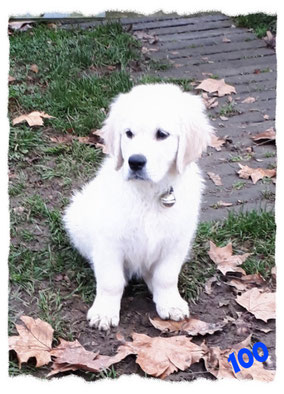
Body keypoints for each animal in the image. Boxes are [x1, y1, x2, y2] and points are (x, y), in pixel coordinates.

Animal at [63, 83, 214, 330]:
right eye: (129, 133)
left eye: (162, 134)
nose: (134, 162)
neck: (149, 193)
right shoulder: (109, 242)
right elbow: (111, 281)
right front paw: (104, 311)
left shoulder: (176, 242)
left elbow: (166, 276)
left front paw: (170, 302)